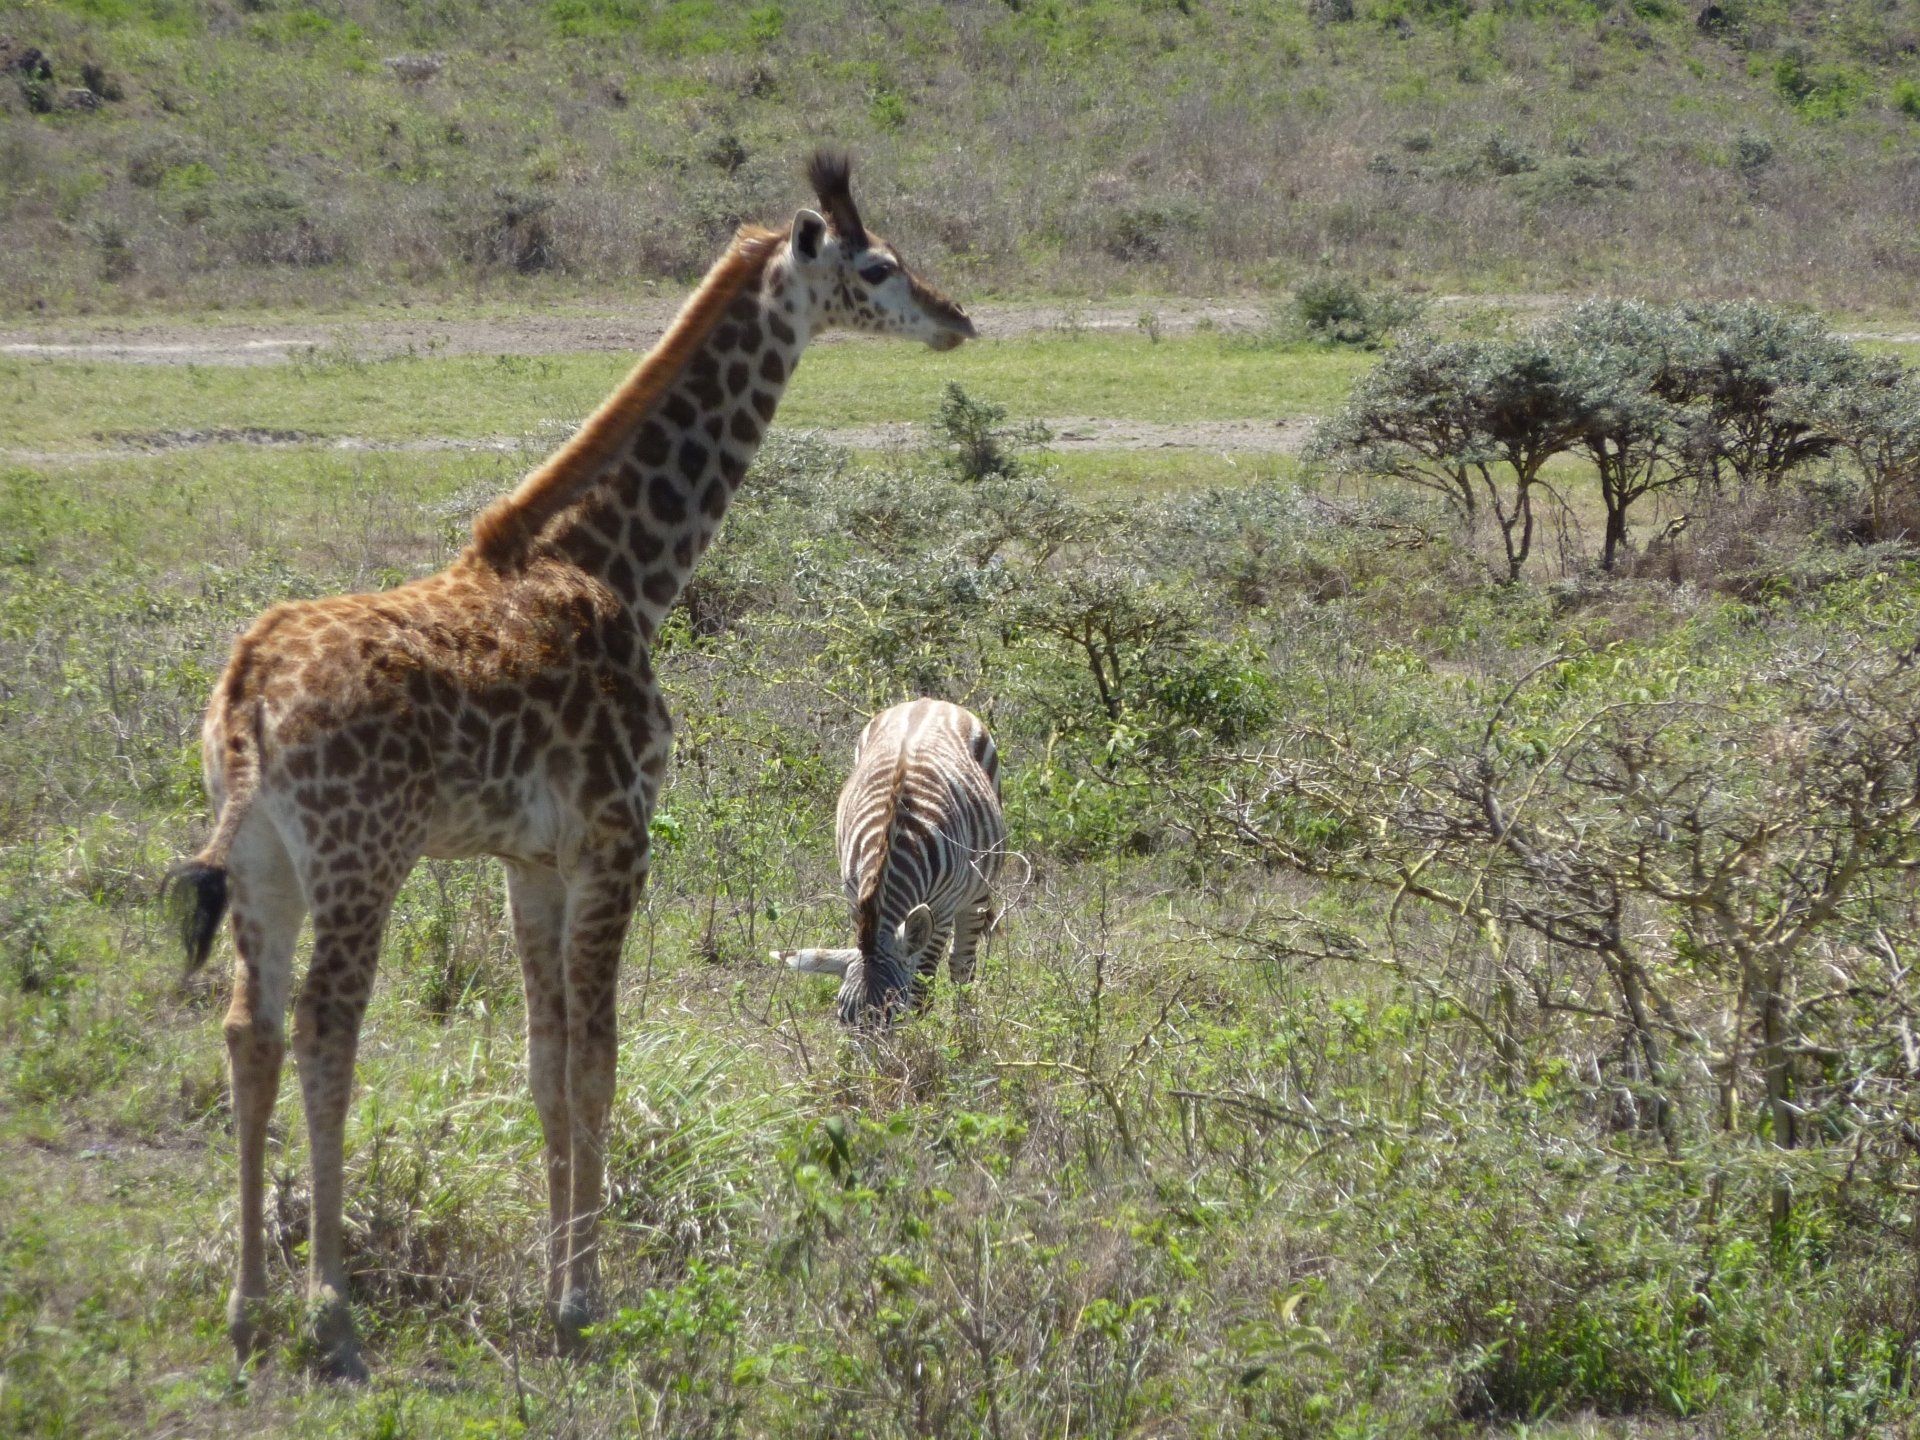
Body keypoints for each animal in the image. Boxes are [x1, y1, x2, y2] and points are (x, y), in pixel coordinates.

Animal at [166, 152, 974, 1378]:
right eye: (877, 265)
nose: (956, 318)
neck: (624, 570)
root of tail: (246, 688)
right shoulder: (615, 839)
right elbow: (598, 1059)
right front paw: (584, 1302)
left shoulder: (531, 862)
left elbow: (545, 1069)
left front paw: (559, 1284)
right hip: (361, 858)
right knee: (322, 1034)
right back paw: (330, 1313)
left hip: (264, 862)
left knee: (247, 1032)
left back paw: (248, 1305)